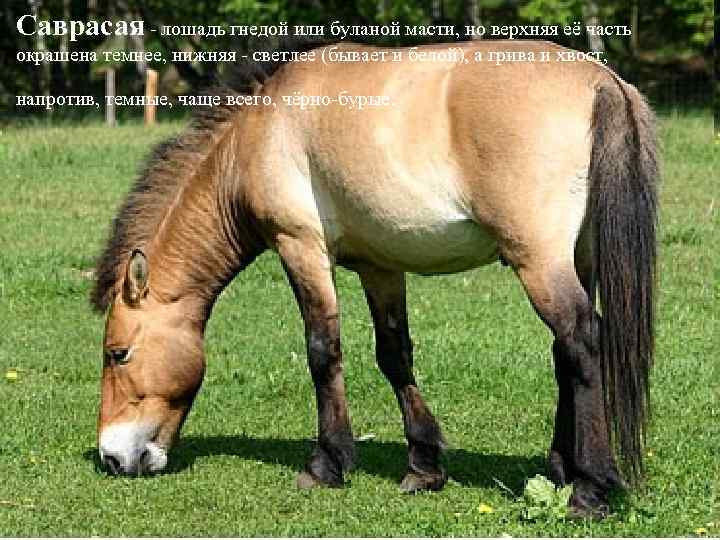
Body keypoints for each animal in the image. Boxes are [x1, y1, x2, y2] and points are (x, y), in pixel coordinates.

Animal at [90, 40, 658, 518]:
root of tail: (600, 80)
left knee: (581, 341)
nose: (113, 458)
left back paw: (590, 489)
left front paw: (327, 463)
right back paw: (562, 468)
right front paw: (423, 466)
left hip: (538, 261)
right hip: (576, 259)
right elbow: (394, 354)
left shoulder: (300, 246)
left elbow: (323, 350)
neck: (262, 130)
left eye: (118, 354)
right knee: (566, 352)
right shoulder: (380, 267)